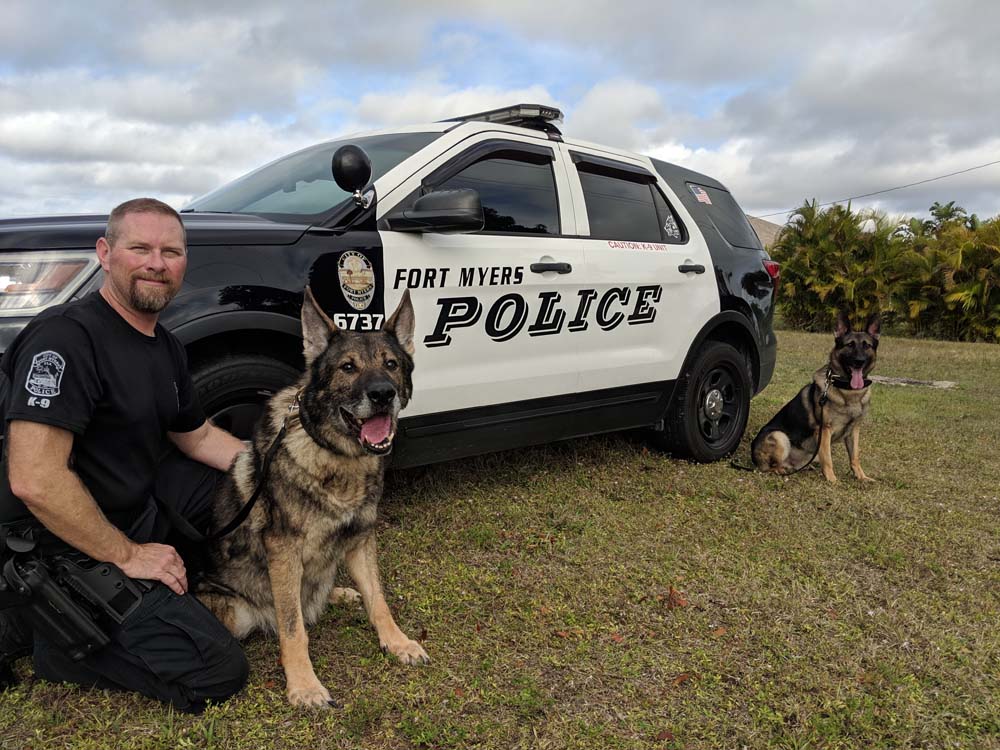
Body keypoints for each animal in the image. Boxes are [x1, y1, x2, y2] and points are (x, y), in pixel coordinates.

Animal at [197, 288, 428, 712]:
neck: (339, 458)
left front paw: (397, 641)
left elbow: (378, 599)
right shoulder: (283, 549)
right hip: (236, 611)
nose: (382, 394)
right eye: (348, 367)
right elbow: (292, 626)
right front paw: (303, 684)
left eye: (390, 364)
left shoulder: (361, 539)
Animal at [752, 310, 884, 482]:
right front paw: (832, 480)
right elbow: (827, 458)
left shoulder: (854, 431)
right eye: (850, 345)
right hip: (779, 436)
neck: (848, 390)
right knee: (769, 468)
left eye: (867, 345)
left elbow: (855, 456)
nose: (859, 361)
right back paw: (782, 470)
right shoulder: (825, 430)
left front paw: (862, 477)